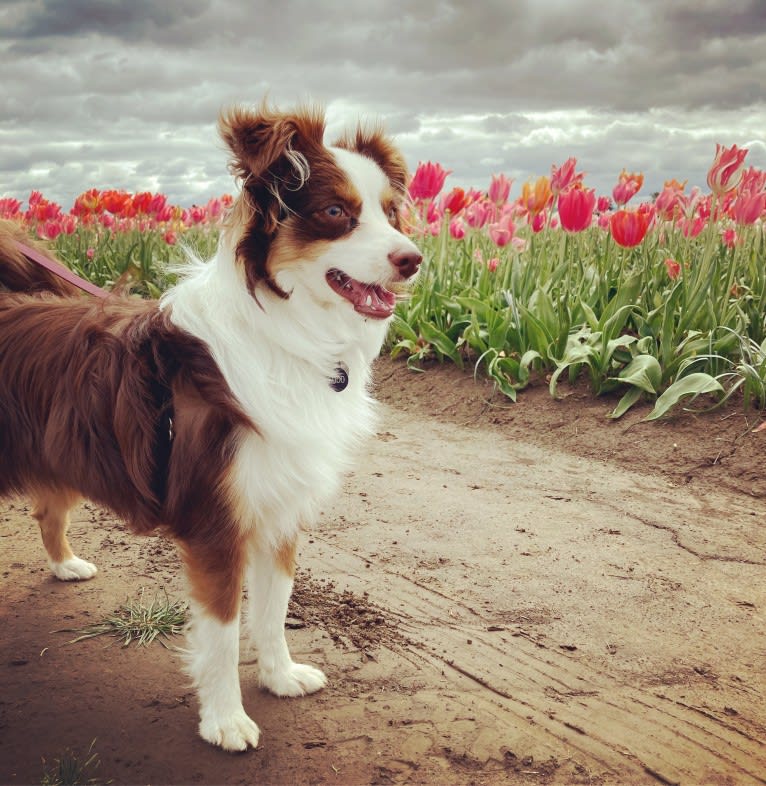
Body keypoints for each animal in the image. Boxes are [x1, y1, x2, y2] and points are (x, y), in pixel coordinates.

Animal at [0, 102, 420, 748]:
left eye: (390, 213)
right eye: (335, 213)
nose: (413, 259)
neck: (285, 334)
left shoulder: (279, 512)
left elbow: (273, 611)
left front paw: (279, 676)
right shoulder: (215, 524)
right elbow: (222, 634)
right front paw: (224, 720)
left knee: (49, 509)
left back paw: (66, 565)